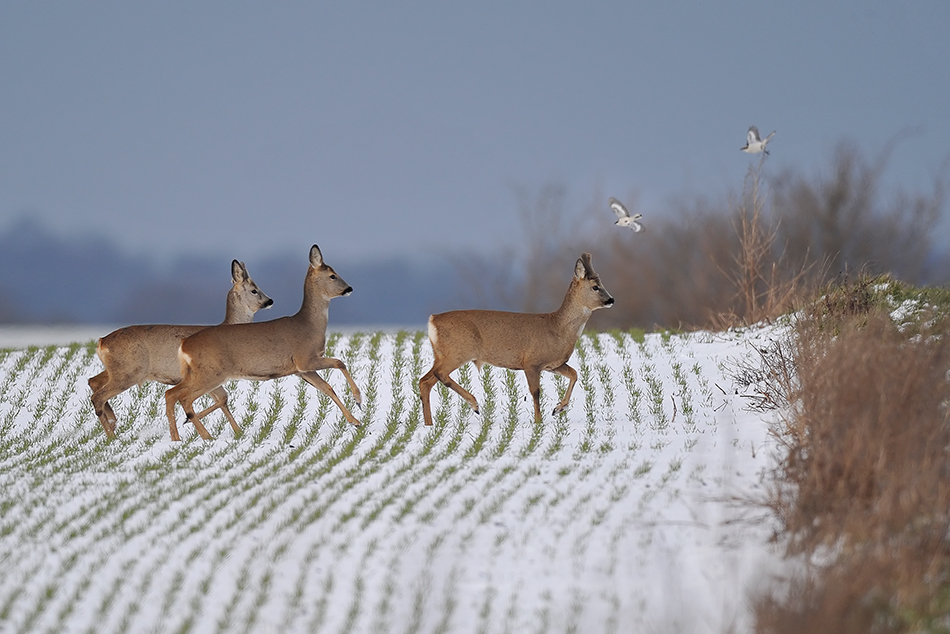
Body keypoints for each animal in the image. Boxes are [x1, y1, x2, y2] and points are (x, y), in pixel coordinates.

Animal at [88, 260, 274, 436]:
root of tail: (101, 342)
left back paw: (112, 422)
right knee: (98, 396)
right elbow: (220, 398)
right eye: (254, 290)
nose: (270, 300)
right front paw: (190, 422)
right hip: (129, 371)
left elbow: (222, 399)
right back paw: (112, 435)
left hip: (118, 369)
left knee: (93, 381)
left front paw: (238, 432)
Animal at [165, 242, 362, 440]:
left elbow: (328, 388)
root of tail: (184, 345)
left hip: (198, 373)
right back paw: (206, 436)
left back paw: (181, 438)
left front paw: (355, 421)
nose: (350, 288)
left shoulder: (302, 370)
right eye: (332, 275)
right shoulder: (305, 358)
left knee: (171, 394)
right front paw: (358, 400)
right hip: (212, 373)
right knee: (184, 397)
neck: (309, 325)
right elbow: (339, 362)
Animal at [422, 252, 616, 424]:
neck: (557, 328)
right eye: (595, 287)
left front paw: (558, 408)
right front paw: (538, 422)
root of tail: (433, 320)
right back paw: (474, 404)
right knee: (438, 375)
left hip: (442, 354)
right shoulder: (531, 362)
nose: (611, 300)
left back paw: (429, 424)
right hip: (458, 351)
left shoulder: (553, 364)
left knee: (425, 381)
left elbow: (574, 374)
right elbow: (536, 392)